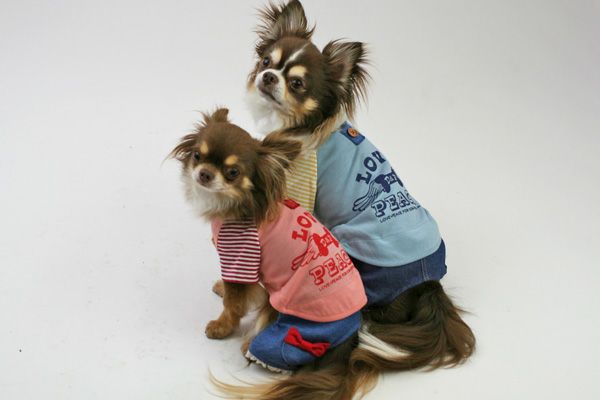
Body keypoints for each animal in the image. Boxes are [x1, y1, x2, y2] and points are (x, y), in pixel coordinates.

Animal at [245, 0, 476, 386]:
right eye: (266, 61)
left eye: (297, 84)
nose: (268, 77)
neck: (301, 126)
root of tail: (430, 283)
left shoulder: (299, 186)